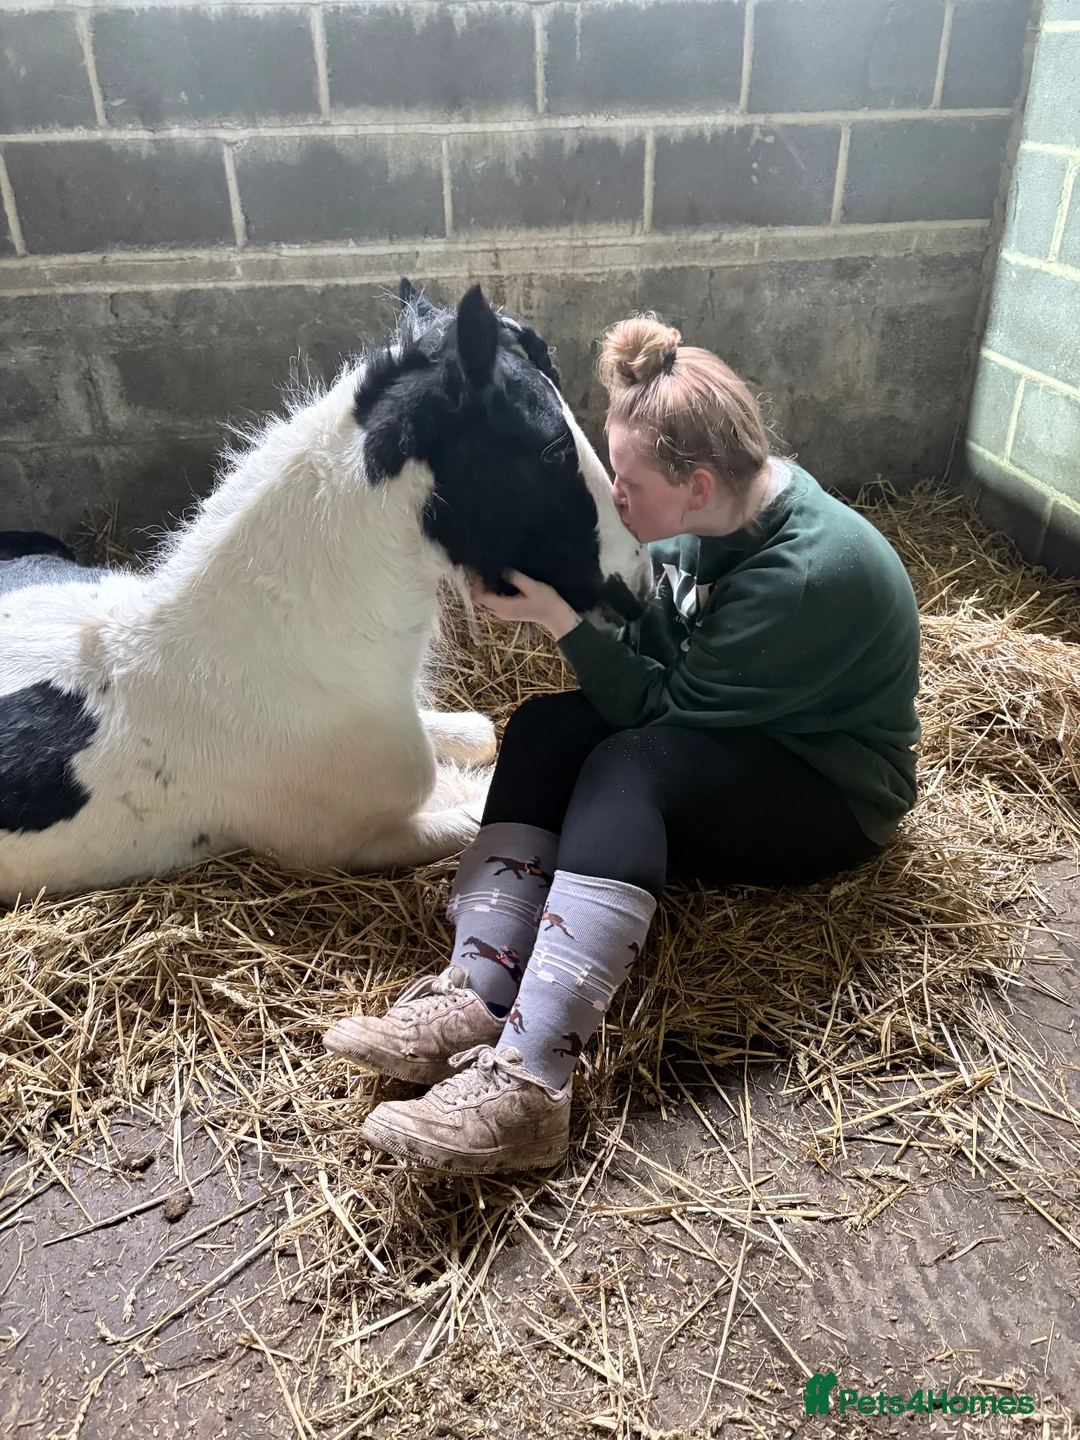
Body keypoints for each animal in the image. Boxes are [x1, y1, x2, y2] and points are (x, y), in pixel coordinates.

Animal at [0, 281, 651, 902]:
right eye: (554, 451)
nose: (638, 591)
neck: (278, 663)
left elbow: (478, 735)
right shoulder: (352, 844)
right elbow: (475, 811)